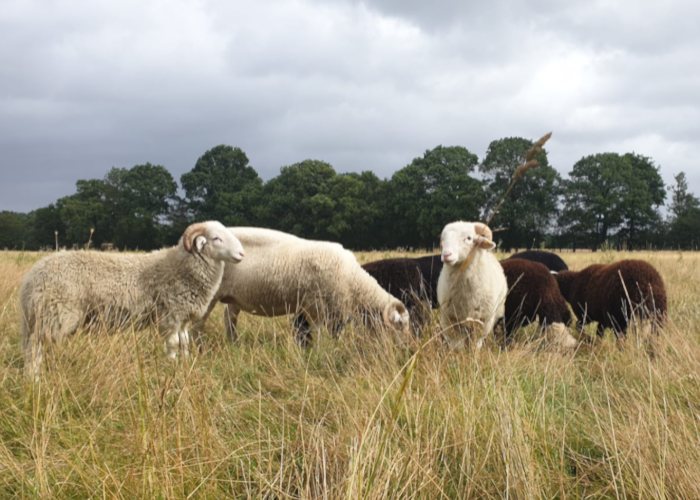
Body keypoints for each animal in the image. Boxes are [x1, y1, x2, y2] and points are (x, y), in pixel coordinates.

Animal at [19, 221, 245, 379]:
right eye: (216, 238)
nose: (242, 254)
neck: (181, 267)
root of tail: (31, 278)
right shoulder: (170, 316)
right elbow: (173, 344)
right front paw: (171, 366)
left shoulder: (184, 318)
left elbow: (185, 343)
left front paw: (185, 364)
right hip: (54, 315)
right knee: (35, 348)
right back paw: (35, 379)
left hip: (40, 318)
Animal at [200, 227, 410, 347]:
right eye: (400, 327)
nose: (408, 350)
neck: (354, 281)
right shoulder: (314, 305)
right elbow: (316, 331)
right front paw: (319, 351)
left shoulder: (333, 311)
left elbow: (333, 333)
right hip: (209, 294)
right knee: (199, 322)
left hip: (234, 297)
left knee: (229, 319)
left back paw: (234, 344)